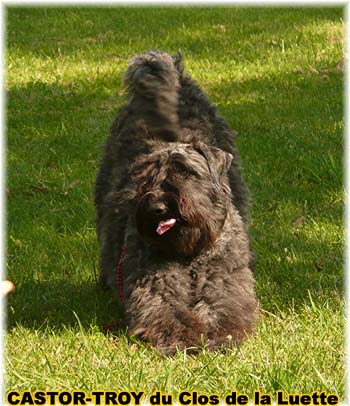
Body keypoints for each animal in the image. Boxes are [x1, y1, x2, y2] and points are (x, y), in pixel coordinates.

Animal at [94, 51, 258, 356]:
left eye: (185, 171)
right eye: (146, 177)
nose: (158, 207)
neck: (190, 254)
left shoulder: (226, 285)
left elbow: (225, 310)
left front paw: (221, 336)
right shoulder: (156, 289)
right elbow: (169, 314)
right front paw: (184, 338)